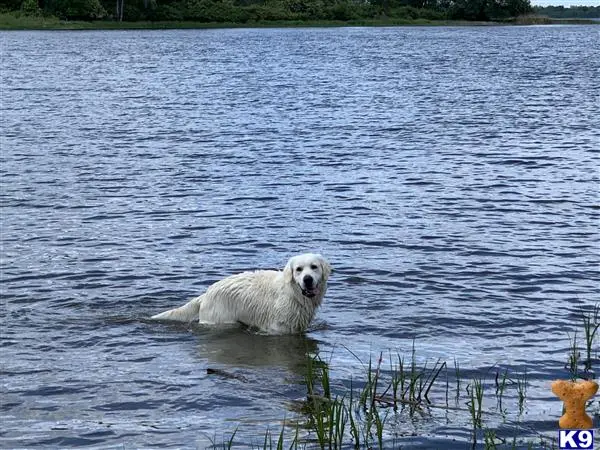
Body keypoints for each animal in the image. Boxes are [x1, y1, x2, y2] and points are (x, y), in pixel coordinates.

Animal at [149, 253, 328, 334]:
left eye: (314, 267)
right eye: (298, 269)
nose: (307, 279)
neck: (293, 293)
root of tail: (206, 294)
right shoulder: (277, 328)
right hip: (223, 320)